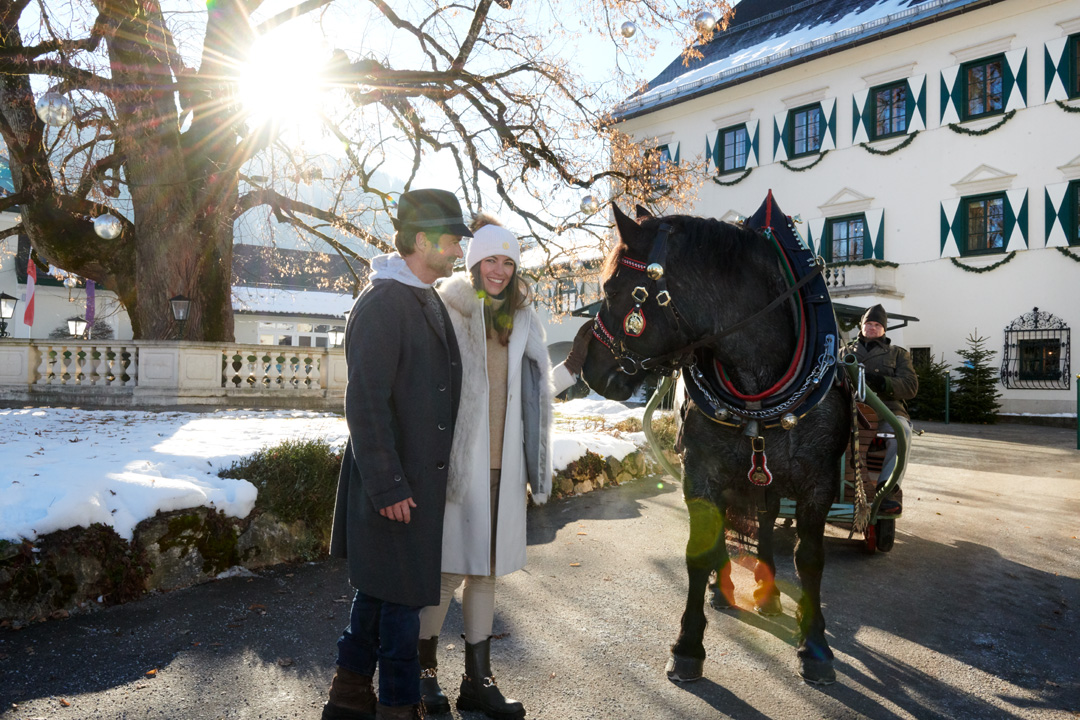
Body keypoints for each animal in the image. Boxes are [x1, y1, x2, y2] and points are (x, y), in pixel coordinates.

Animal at [583, 199, 851, 686]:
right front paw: (688, 644)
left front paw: (815, 644)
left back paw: (767, 591)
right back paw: (724, 588)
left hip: (766, 476)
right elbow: (699, 550)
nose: (588, 370)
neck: (758, 384)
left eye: (612, 287)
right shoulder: (700, 471)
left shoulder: (818, 482)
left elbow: (810, 559)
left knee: (764, 522)